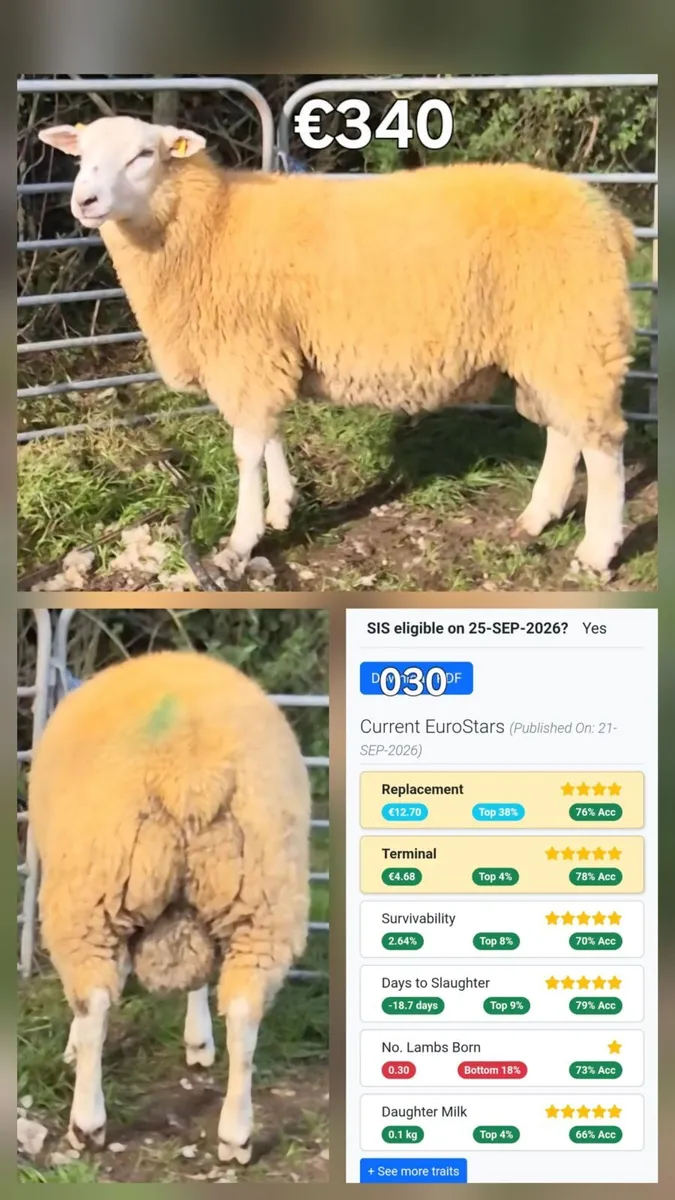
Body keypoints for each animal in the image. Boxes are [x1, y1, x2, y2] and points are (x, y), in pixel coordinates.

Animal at [27, 649, 311, 1163]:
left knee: (94, 1002)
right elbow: (197, 975)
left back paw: (87, 1123)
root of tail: (190, 774)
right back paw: (235, 1135)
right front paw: (199, 1040)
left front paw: (74, 1050)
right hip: (265, 900)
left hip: (90, 892)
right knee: (245, 1012)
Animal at [39, 116, 638, 578]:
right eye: (81, 155)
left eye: (144, 154)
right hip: (549, 339)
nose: (84, 201)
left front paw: (242, 540)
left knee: (603, 445)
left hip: (575, 330)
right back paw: (538, 516)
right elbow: (271, 432)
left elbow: (246, 449)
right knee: (566, 431)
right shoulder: (269, 349)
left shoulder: (245, 351)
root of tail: (608, 216)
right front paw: (281, 508)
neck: (206, 224)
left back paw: (597, 550)